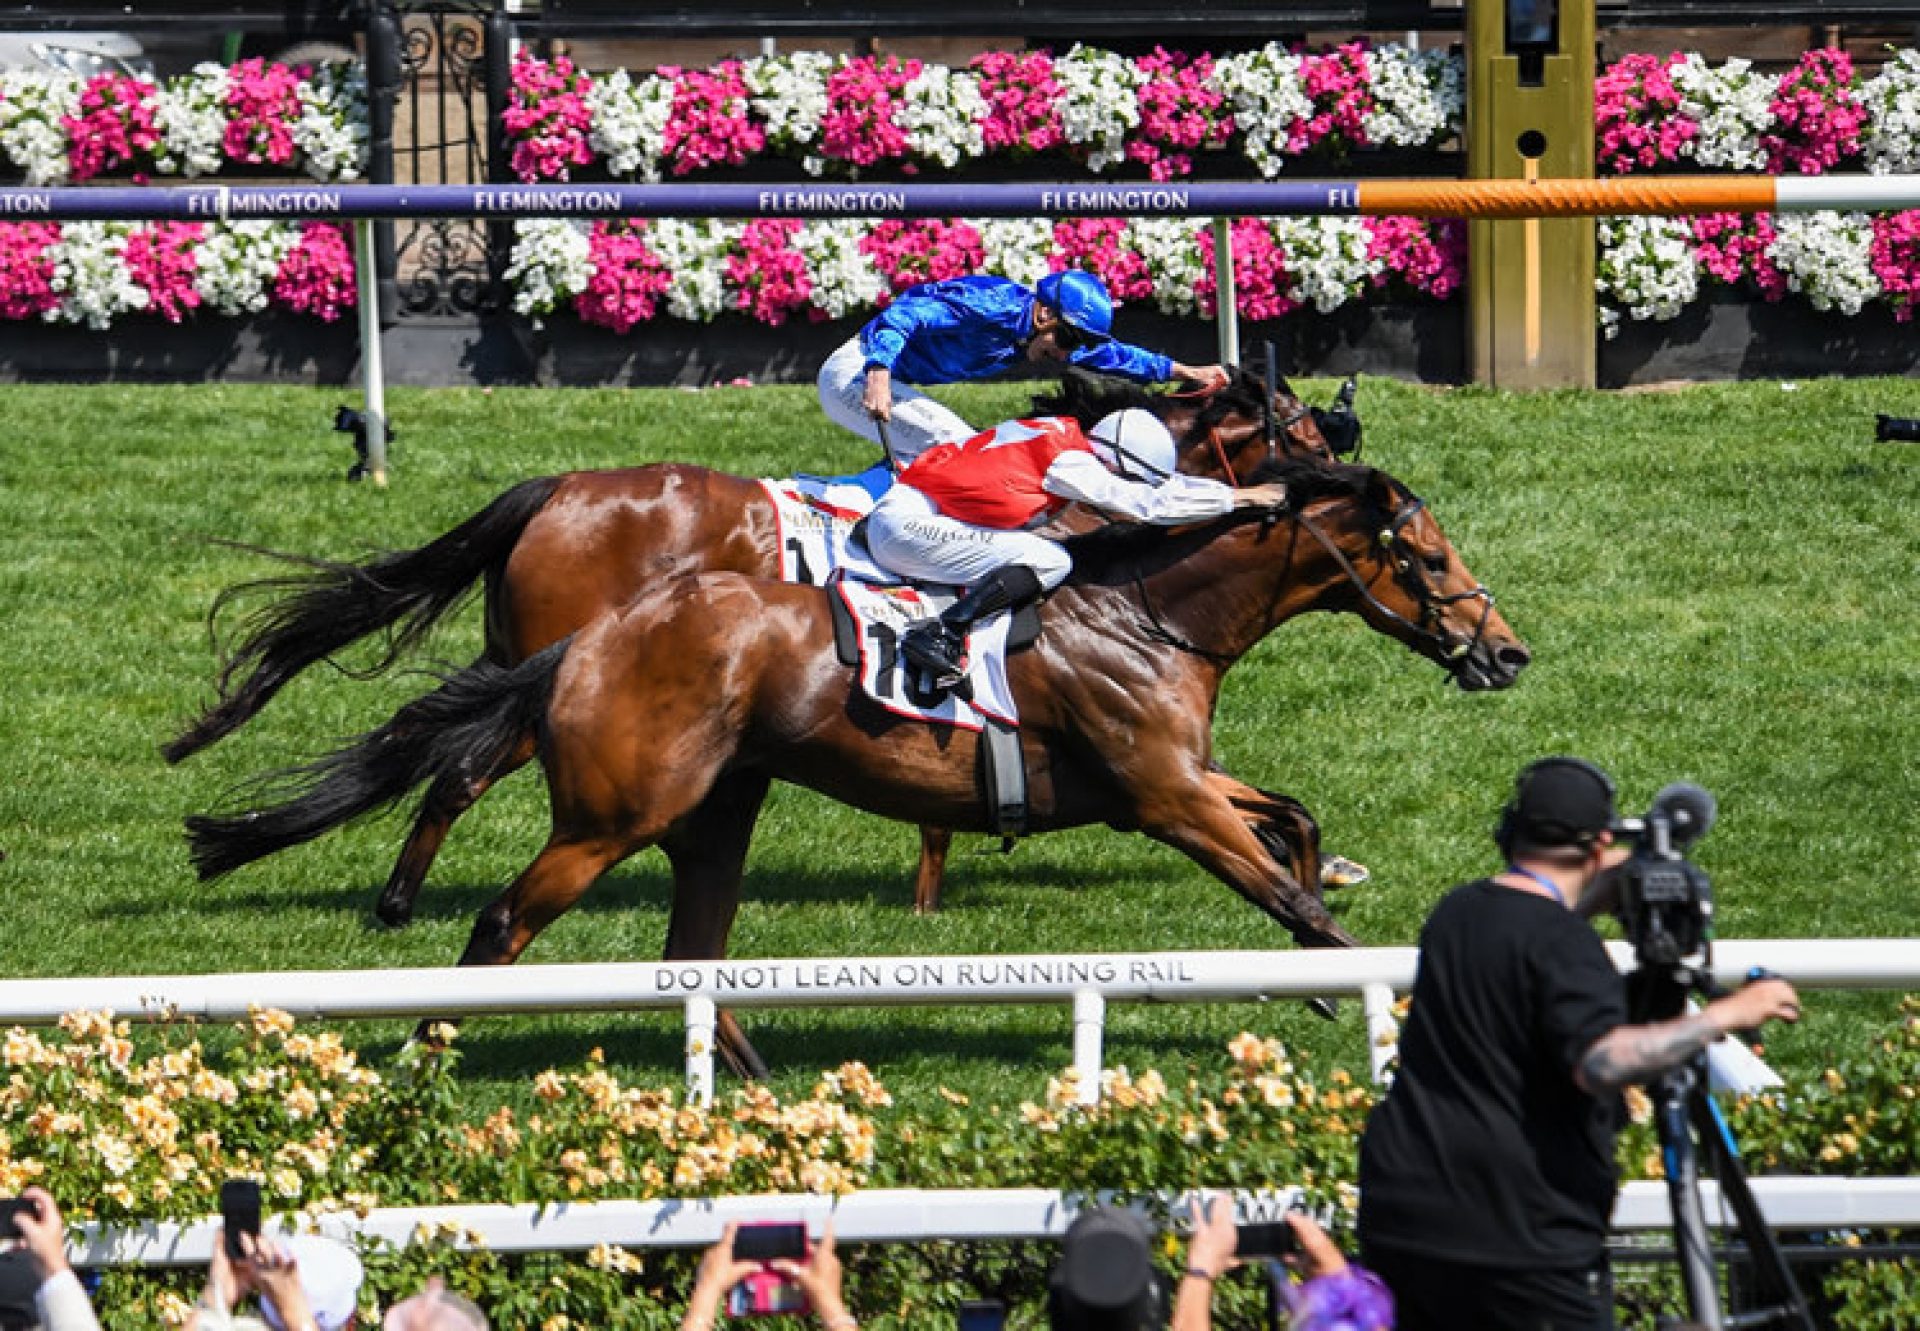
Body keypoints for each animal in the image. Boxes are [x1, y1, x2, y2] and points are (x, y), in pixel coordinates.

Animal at [165, 363, 1336, 925]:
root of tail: (558, 487)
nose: (1345, 445)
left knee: (443, 758)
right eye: (1291, 420)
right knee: (455, 769)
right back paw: (401, 905)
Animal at [191, 459, 1528, 1083]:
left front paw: (1322, 974)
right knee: (504, 915)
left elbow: (1293, 822)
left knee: (693, 952)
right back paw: (428, 1040)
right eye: (1424, 553)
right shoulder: (1163, 794)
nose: (1505, 650)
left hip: (717, 811)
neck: (1147, 611)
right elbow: (1288, 882)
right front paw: (1370, 996)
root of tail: (599, 636)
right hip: (617, 813)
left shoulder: (1169, 780)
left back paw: (762, 1083)